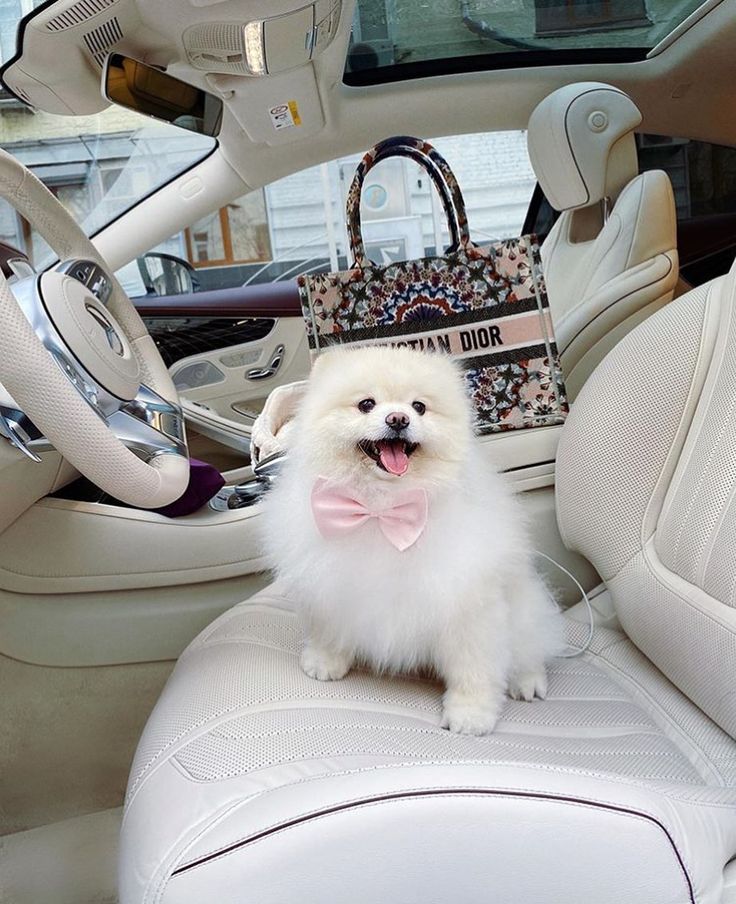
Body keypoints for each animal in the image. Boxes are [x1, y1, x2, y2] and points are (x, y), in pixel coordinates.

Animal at [262, 346, 560, 736]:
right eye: (366, 404)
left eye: (419, 406)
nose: (399, 419)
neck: (382, 508)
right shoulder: (331, 584)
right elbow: (330, 626)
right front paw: (325, 662)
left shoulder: (470, 607)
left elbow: (475, 668)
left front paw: (471, 714)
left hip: (525, 609)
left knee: (531, 646)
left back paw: (527, 681)